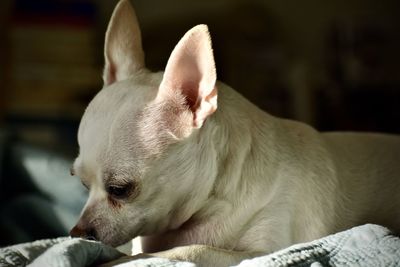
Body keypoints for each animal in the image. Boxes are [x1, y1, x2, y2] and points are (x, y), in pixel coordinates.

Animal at [70, 1, 400, 266]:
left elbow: (191, 249)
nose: (76, 233)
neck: (212, 199)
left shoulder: (267, 250)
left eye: (120, 189)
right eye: (81, 183)